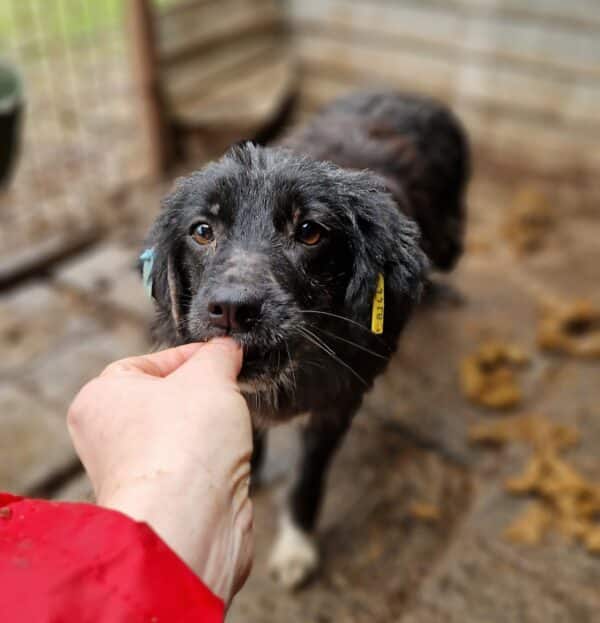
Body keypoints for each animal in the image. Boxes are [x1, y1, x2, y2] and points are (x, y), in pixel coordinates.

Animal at [141, 89, 468, 588]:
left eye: (310, 232)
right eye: (202, 231)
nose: (232, 309)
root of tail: (409, 94)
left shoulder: (337, 404)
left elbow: (307, 480)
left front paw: (296, 546)